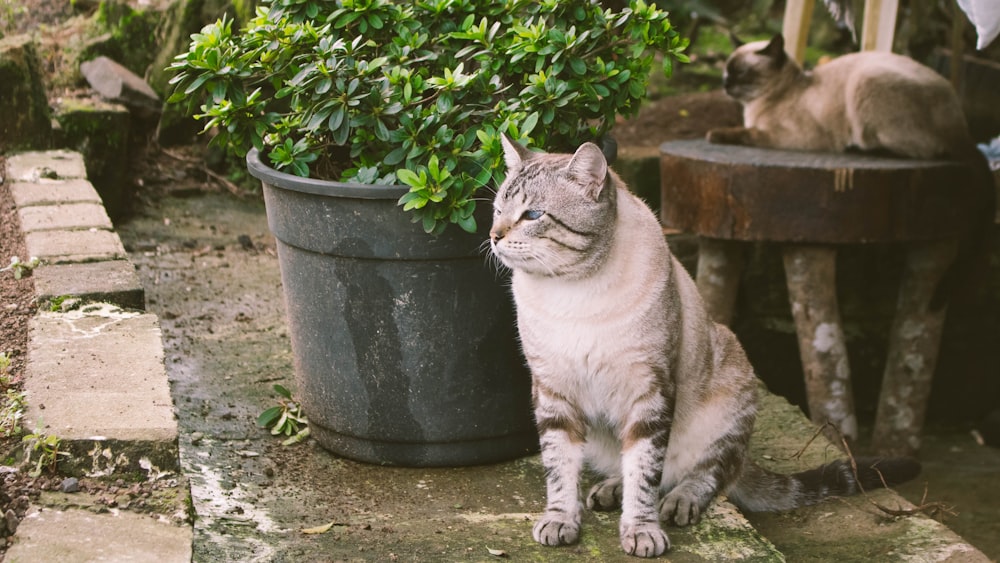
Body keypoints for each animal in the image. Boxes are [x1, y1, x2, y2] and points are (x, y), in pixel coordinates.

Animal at [488, 133, 916, 560]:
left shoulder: (651, 390)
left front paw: (642, 530)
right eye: (497, 211)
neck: (571, 289)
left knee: (704, 473)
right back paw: (610, 489)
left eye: (532, 215)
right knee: (629, 464)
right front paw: (560, 520)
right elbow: (560, 468)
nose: (494, 236)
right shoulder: (552, 390)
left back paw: (680, 500)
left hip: (733, 381)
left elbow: (645, 471)